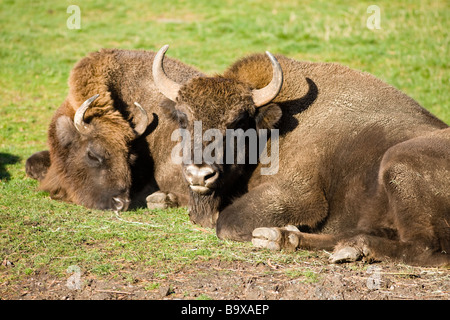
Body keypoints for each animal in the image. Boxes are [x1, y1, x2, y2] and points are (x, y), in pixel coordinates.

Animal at [152, 43, 450, 266]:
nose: (199, 175)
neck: (273, 128)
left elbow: (226, 222)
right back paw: (289, 238)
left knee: (426, 248)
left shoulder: (301, 194)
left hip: (397, 164)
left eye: (237, 122)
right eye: (183, 118)